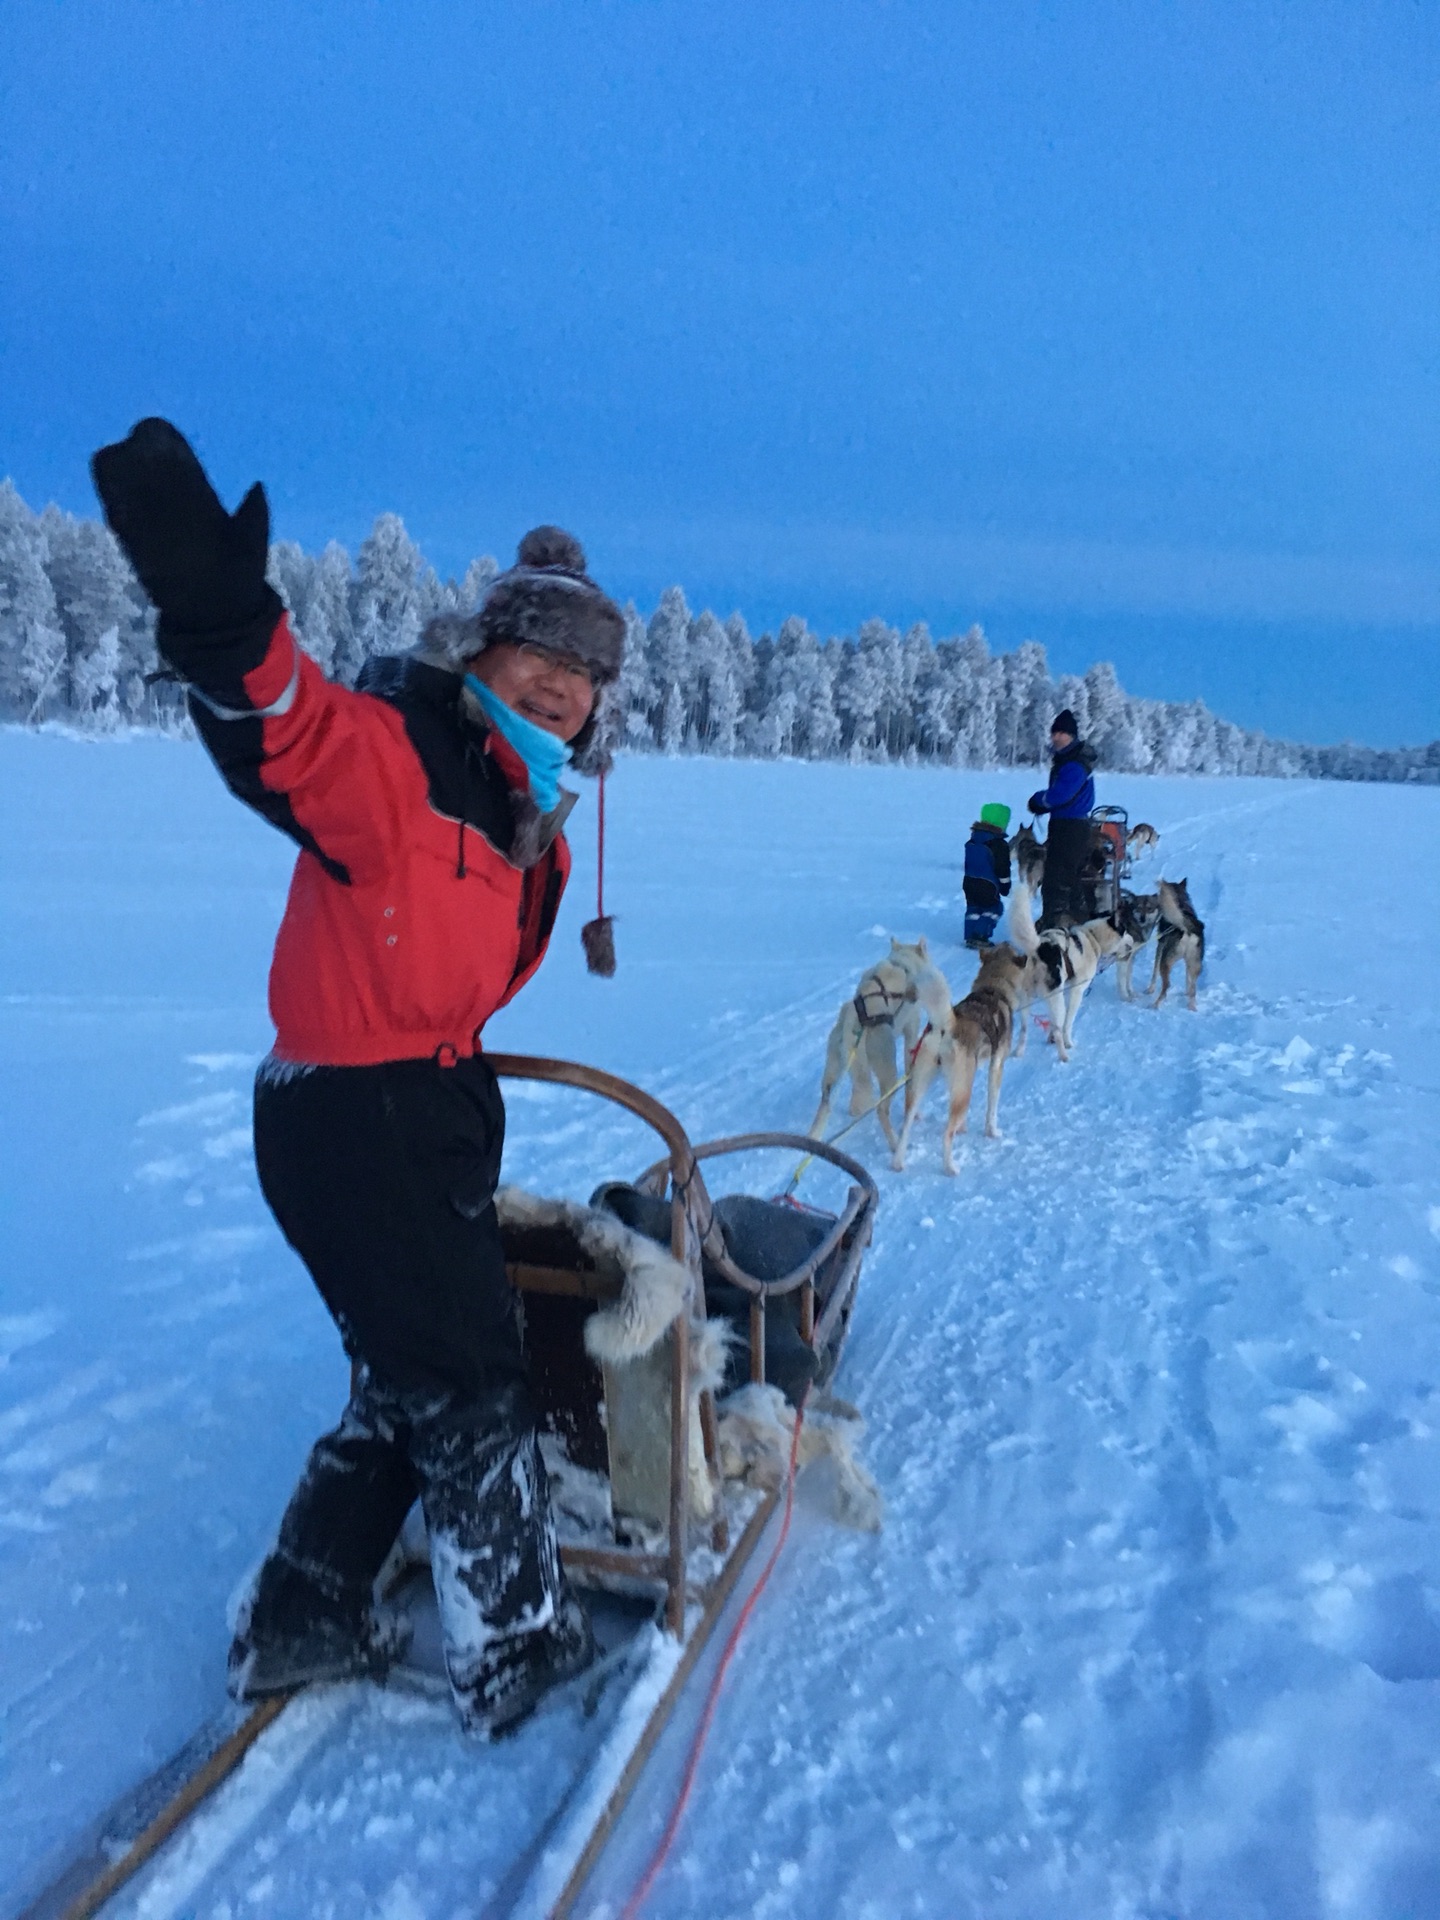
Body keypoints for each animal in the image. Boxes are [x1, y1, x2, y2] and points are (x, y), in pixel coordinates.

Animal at [814, 936, 960, 1144]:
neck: (902, 963)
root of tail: (855, 1018)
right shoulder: (911, 1034)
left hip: (831, 1079)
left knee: (826, 1107)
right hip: (888, 1072)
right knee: (880, 1110)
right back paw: (894, 1142)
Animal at [890, 944, 1036, 1167]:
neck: (993, 988)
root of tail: (947, 1025)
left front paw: (964, 1128)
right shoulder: (996, 1066)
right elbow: (992, 1109)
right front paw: (992, 1132)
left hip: (921, 1087)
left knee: (906, 1124)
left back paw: (898, 1163)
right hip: (962, 1092)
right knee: (946, 1134)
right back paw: (951, 1168)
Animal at [1152, 879, 1205, 1013]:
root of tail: (1187, 930)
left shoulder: (1160, 946)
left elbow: (1154, 973)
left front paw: (1149, 990)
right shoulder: (1188, 963)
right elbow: (1188, 981)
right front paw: (1186, 992)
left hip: (1165, 962)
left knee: (1166, 986)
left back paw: (1154, 1005)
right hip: (1195, 963)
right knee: (1193, 989)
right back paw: (1192, 1006)